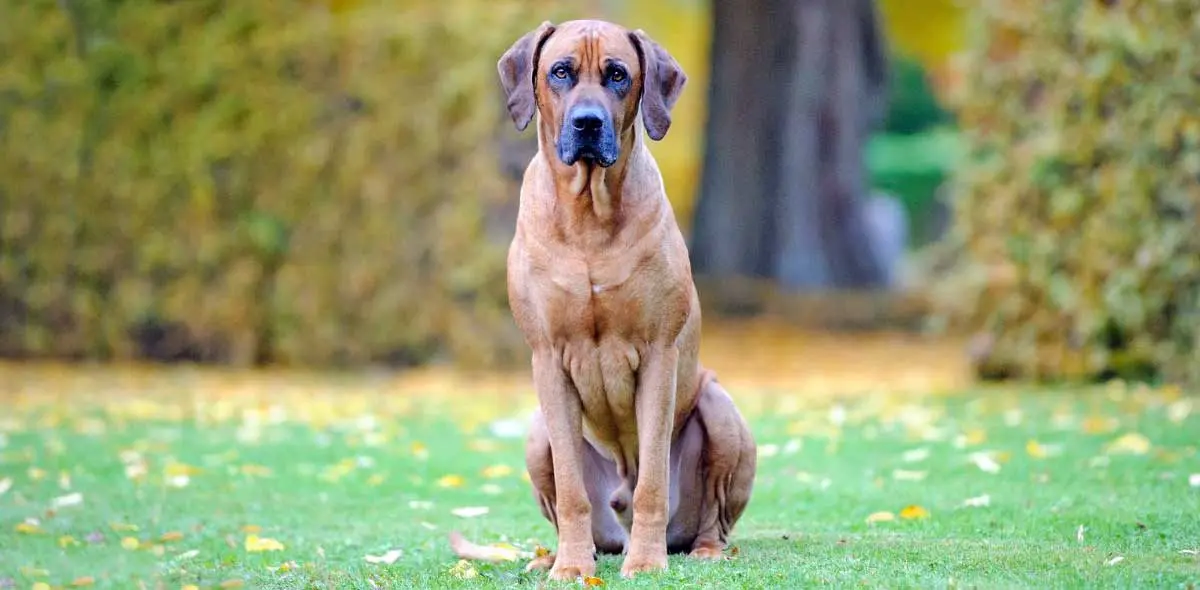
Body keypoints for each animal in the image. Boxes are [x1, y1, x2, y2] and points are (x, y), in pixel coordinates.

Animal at [492, 19, 753, 580]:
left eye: (617, 75)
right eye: (560, 71)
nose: (588, 123)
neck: (590, 214)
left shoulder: (658, 355)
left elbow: (653, 479)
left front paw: (648, 562)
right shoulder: (548, 359)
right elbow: (571, 489)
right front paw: (570, 567)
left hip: (719, 409)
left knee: (714, 519)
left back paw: (700, 550)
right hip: (536, 431)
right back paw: (558, 555)